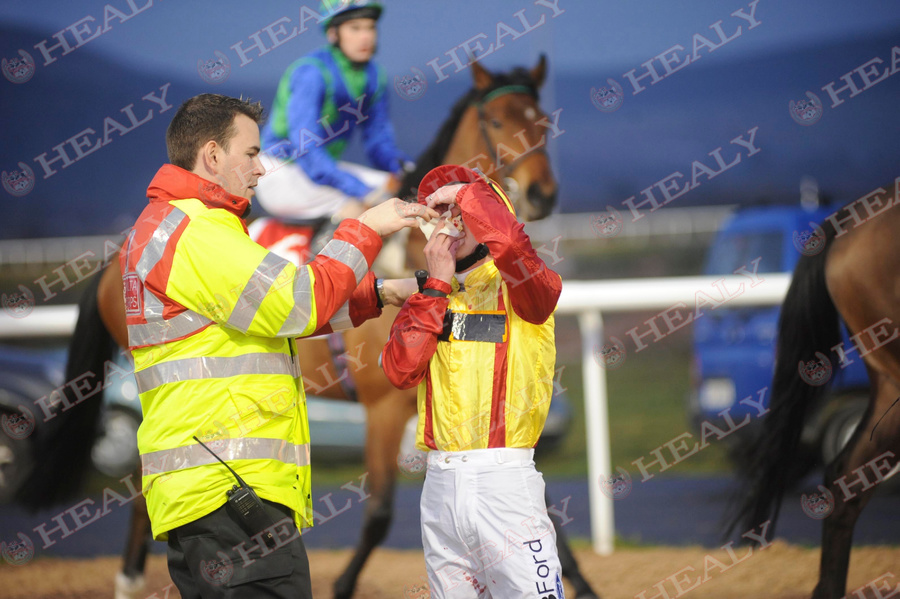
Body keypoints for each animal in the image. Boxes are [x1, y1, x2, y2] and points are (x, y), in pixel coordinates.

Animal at [14, 56, 600, 599]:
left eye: (542, 120)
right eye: (498, 122)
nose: (542, 195)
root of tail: (114, 260)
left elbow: (539, 498)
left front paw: (580, 579)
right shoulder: (383, 406)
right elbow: (380, 513)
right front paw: (341, 585)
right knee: (146, 491)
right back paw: (129, 579)